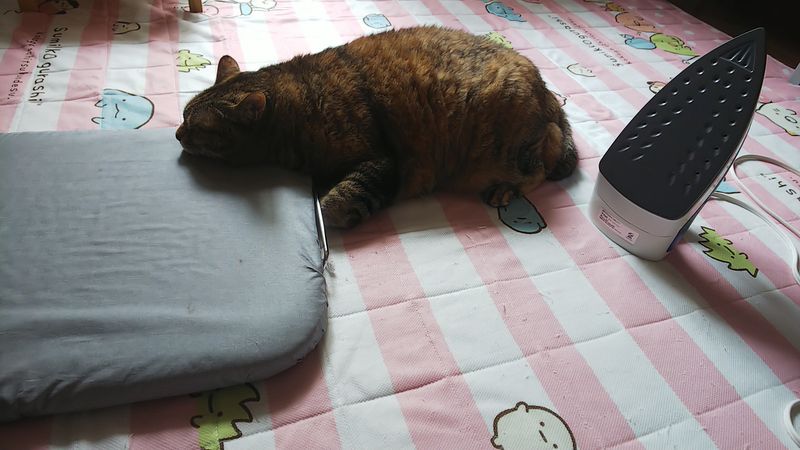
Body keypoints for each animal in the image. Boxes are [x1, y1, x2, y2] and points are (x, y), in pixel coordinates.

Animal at [176, 26, 577, 228]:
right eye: (182, 115)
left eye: (195, 127)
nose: (177, 134)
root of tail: (548, 94)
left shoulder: (383, 162)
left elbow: (335, 203)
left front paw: (330, 217)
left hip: (513, 146)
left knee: (541, 168)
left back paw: (506, 189)